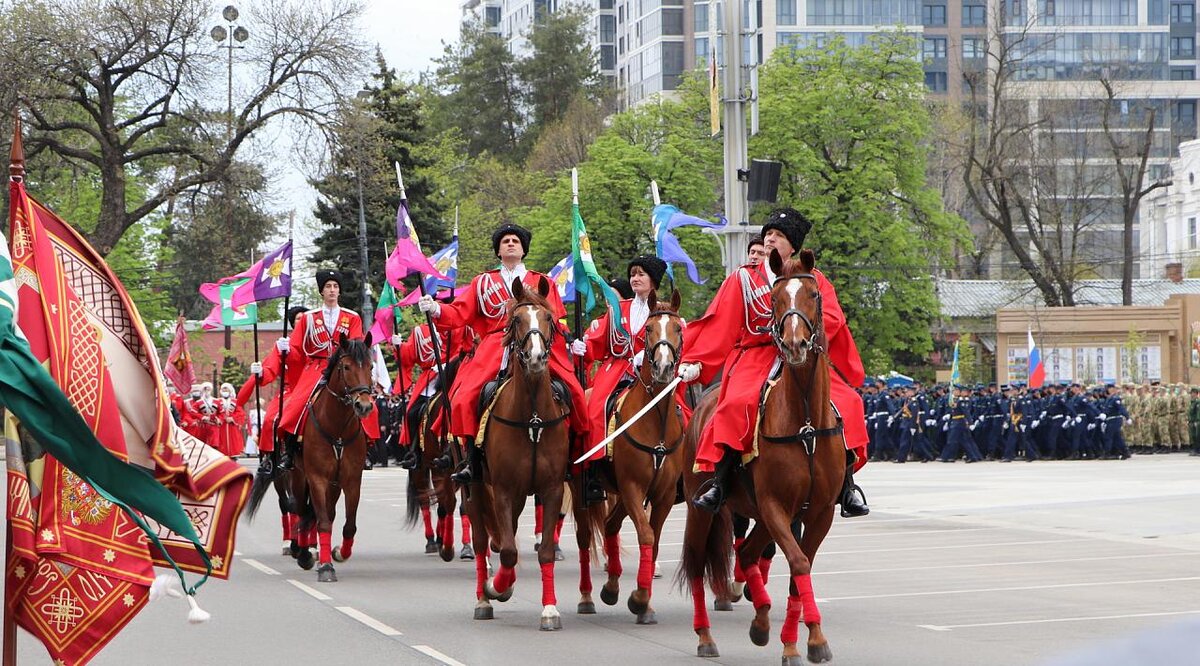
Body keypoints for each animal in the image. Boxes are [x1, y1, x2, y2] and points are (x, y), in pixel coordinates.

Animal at [290, 336, 374, 580]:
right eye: (346, 367)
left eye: (370, 366)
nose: (364, 406)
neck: (338, 429)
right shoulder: (317, 478)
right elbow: (323, 523)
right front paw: (326, 567)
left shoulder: (351, 480)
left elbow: (349, 525)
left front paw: (338, 553)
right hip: (299, 477)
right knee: (302, 511)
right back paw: (304, 553)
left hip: (334, 485)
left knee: (326, 512)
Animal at [463, 276, 571, 628]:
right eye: (517, 320)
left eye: (549, 318)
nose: (536, 357)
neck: (533, 417)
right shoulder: (502, 490)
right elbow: (508, 550)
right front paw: (496, 587)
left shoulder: (551, 489)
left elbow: (545, 550)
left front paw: (549, 609)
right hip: (475, 490)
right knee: (483, 544)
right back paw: (484, 597)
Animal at [571, 288, 686, 624]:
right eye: (649, 329)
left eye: (679, 329)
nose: (663, 367)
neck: (655, 420)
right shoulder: (634, 487)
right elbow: (646, 535)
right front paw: (638, 598)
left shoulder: (661, 494)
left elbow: (655, 541)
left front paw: (644, 601)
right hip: (584, 490)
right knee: (586, 537)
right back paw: (588, 597)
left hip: (620, 492)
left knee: (610, 525)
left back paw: (611, 585)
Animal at [676, 252, 844, 666]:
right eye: (776, 299)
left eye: (814, 295)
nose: (796, 344)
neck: (805, 423)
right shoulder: (773, 504)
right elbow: (798, 563)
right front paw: (806, 640)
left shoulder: (819, 511)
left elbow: (801, 570)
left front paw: (801, 640)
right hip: (704, 509)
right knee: (700, 563)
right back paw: (706, 636)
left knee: (749, 553)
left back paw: (762, 619)